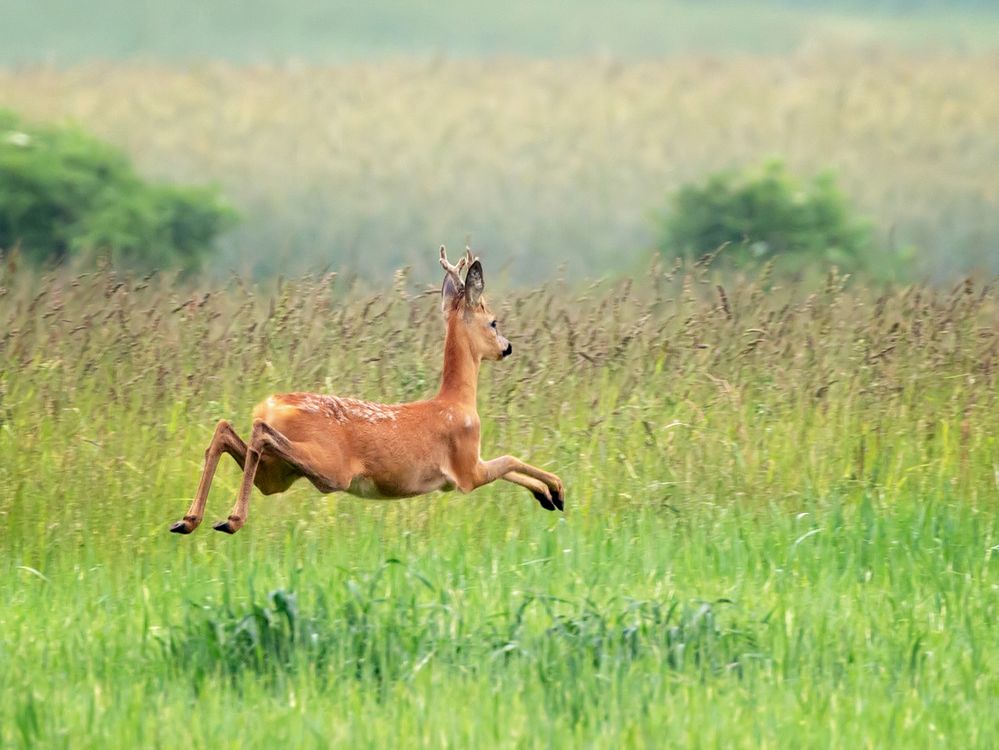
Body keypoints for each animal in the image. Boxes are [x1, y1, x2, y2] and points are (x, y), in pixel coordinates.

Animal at [169, 245, 568, 536]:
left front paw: (548, 497)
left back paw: (189, 520)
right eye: (494, 322)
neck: (457, 401)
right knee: (259, 433)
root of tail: (270, 405)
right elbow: (511, 460)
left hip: (278, 476)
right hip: (329, 466)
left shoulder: (468, 470)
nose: (508, 347)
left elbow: (511, 466)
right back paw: (230, 519)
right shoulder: (466, 469)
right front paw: (558, 489)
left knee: (226, 430)